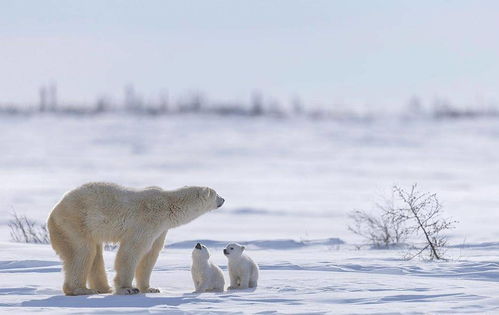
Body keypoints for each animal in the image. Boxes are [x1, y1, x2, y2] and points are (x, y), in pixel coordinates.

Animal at [47, 183, 227, 296]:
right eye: (216, 194)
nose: (224, 199)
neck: (168, 205)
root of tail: (53, 212)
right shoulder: (148, 220)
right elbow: (132, 250)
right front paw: (127, 289)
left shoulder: (160, 229)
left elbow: (150, 255)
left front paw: (150, 288)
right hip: (75, 222)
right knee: (83, 252)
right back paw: (81, 289)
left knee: (95, 254)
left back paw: (103, 288)